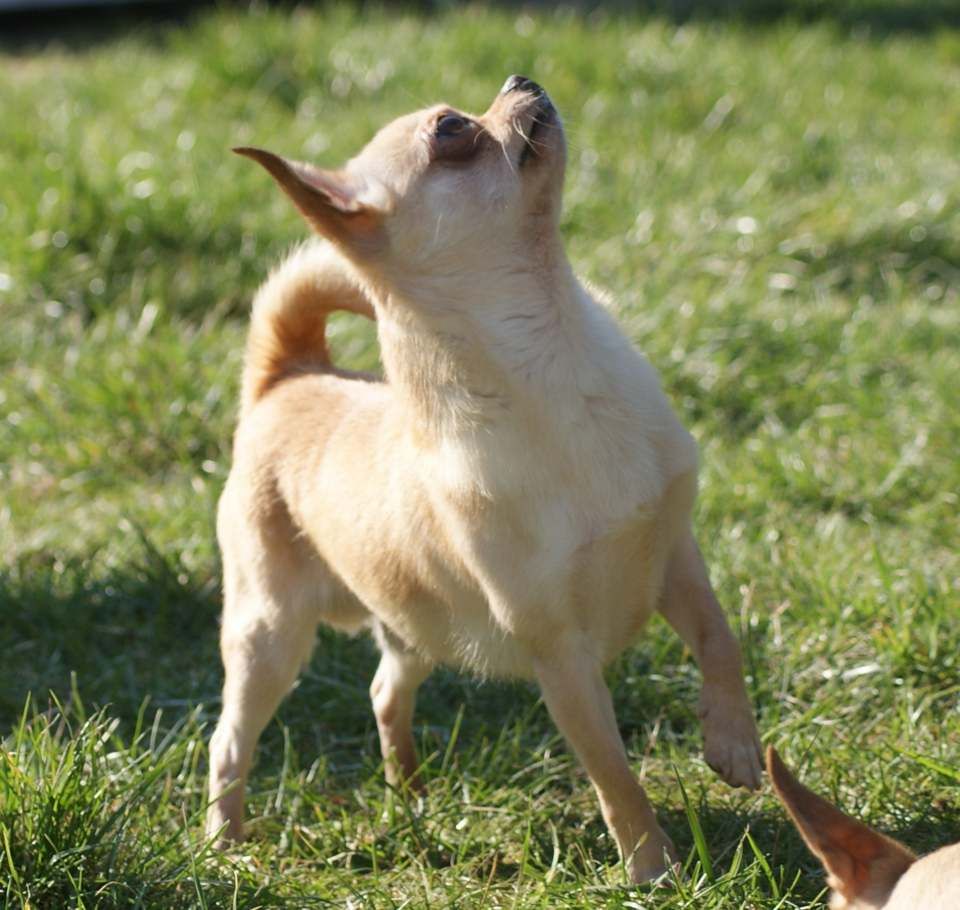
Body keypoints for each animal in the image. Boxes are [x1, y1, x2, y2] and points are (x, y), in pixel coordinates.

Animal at [205, 75, 762, 882]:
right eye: (450, 132)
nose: (520, 80)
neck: (556, 350)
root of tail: (289, 376)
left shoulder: (674, 554)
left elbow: (720, 641)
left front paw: (735, 745)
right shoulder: (562, 657)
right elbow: (615, 775)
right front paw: (653, 868)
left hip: (415, 624)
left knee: (384, 690)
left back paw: (408, 791)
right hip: (269, 634)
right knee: (229, 741)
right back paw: (225, 844)